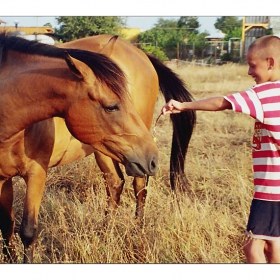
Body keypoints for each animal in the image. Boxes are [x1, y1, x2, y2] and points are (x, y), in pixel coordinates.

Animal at [0, 32, 158, 262]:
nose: (153, 158)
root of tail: (141, 54)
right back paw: (104, 237)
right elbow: (6, 224)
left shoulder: (36, 173)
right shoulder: (2, 178)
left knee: (140, 188)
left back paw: (138, 238)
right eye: (111, 107)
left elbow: (28, 232)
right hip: (104, 151)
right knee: (115, 184)